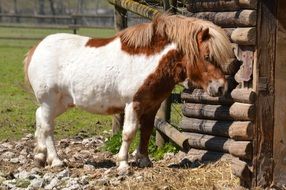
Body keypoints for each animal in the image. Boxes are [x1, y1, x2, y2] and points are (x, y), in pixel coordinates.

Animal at [24, 14, 235, 173]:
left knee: (40, 119)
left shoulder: (152, 106)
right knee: (47, 126)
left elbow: (147, 131)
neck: (149, 62)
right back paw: (56, 160)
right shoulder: (133, 104)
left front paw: (144, 160)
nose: (221, 87)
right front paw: (123, 163)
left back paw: (40, 156)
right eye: (207, 56)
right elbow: (129, 132)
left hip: (61, 103)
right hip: (49, 101)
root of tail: (36, 48)